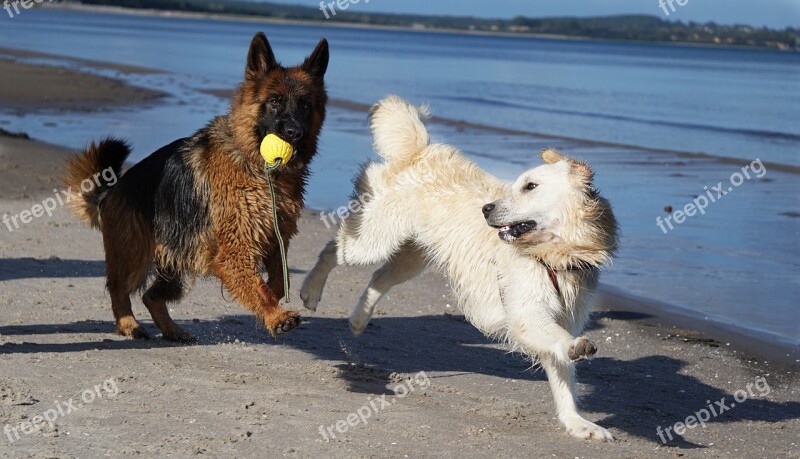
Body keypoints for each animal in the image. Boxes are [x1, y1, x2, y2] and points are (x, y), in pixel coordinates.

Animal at [63, 33, 328, 342]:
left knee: (151, 296)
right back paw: (128, 324)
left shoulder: (276, 239)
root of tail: (112, 191)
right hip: (135, 257)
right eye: (274, 101)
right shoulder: (234, 250)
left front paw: (270, 301)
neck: (257, 165)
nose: (295, 133)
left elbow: (272, 280)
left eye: (305, 105)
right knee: (119, 290)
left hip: (179, 262)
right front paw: (276, 316)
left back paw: (171, 330)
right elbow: (258, 286)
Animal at [300, 95, 620, 440]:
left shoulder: (565, 313)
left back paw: (359, 319)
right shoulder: (526, 313)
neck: (554, 255)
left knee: (379, 277)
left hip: (414, 256)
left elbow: (562, 375)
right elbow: (558, 340)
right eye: (518, 185)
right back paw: (310, 291)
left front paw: (578, 423)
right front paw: (576, 347)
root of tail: (420, 149)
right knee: (333, 249)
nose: (486, 209)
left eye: (531, 186)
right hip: (373, 240)